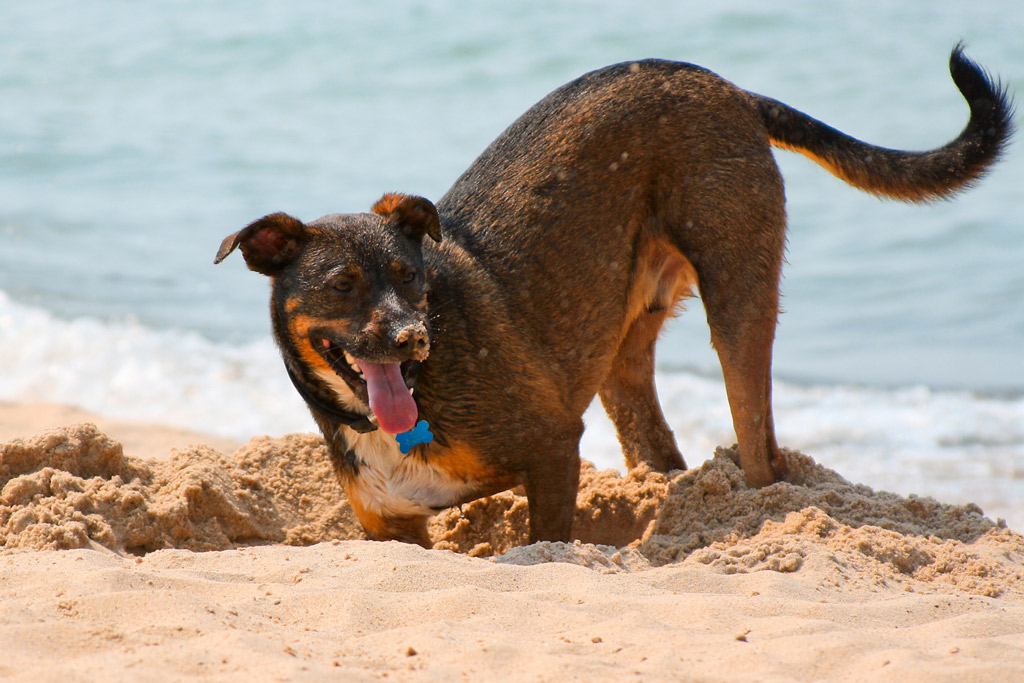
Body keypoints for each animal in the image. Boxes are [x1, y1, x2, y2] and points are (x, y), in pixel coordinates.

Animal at [214, 45, 1007, 548]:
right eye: (343, 285)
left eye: (413, 278)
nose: (413, 337)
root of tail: (724, 86)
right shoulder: (390, 525)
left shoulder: (551, 446)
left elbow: (546, 538)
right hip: (620, 346)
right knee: (656, 439)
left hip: (737, 296)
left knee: (760, 445)